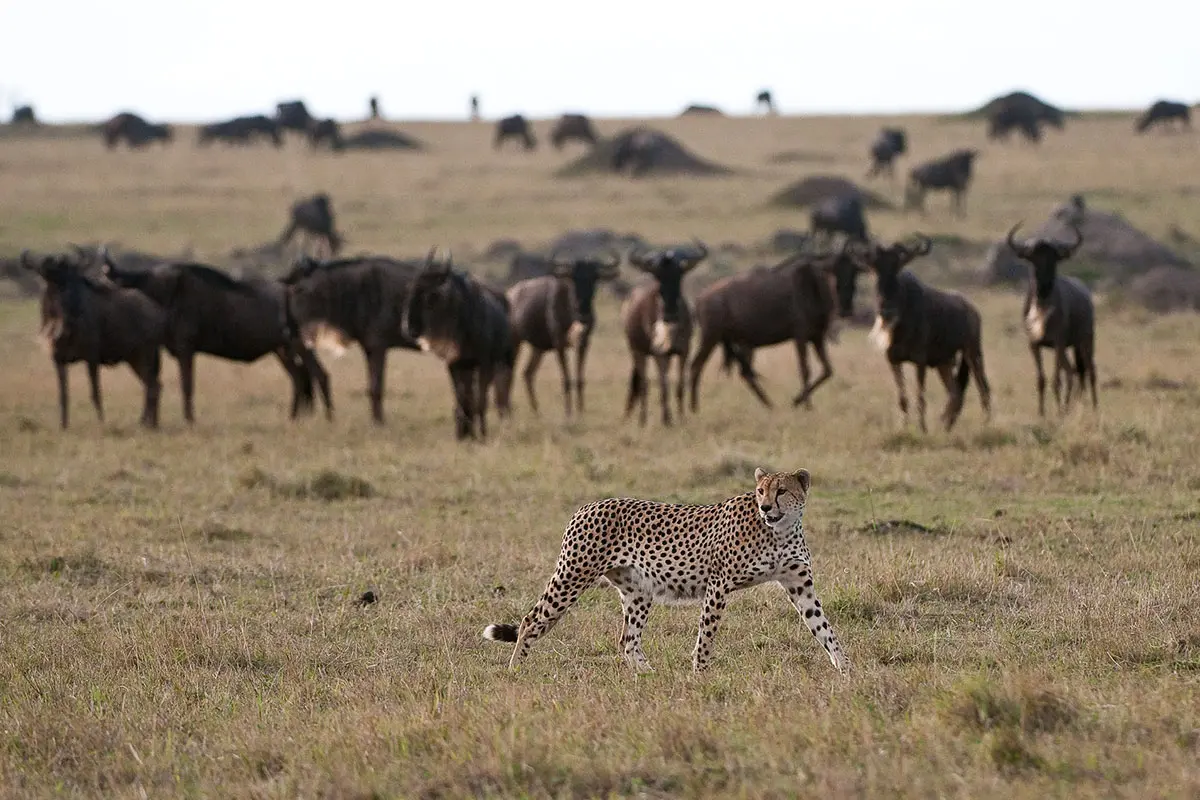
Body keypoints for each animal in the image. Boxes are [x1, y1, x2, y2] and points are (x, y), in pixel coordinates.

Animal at [482, 465, 849, 671]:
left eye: (782, 490)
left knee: (627, 640)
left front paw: (846, 671)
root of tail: (588, 505)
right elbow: (706, 635)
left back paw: (648, 675)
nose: (765, 506)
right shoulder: (718, 583)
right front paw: (700, 675)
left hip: (638, 592)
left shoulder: (799, 585)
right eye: (760, 491)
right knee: (530, 620)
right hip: (573, 576)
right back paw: (515, 670)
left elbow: (824, 629)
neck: (779, 529)